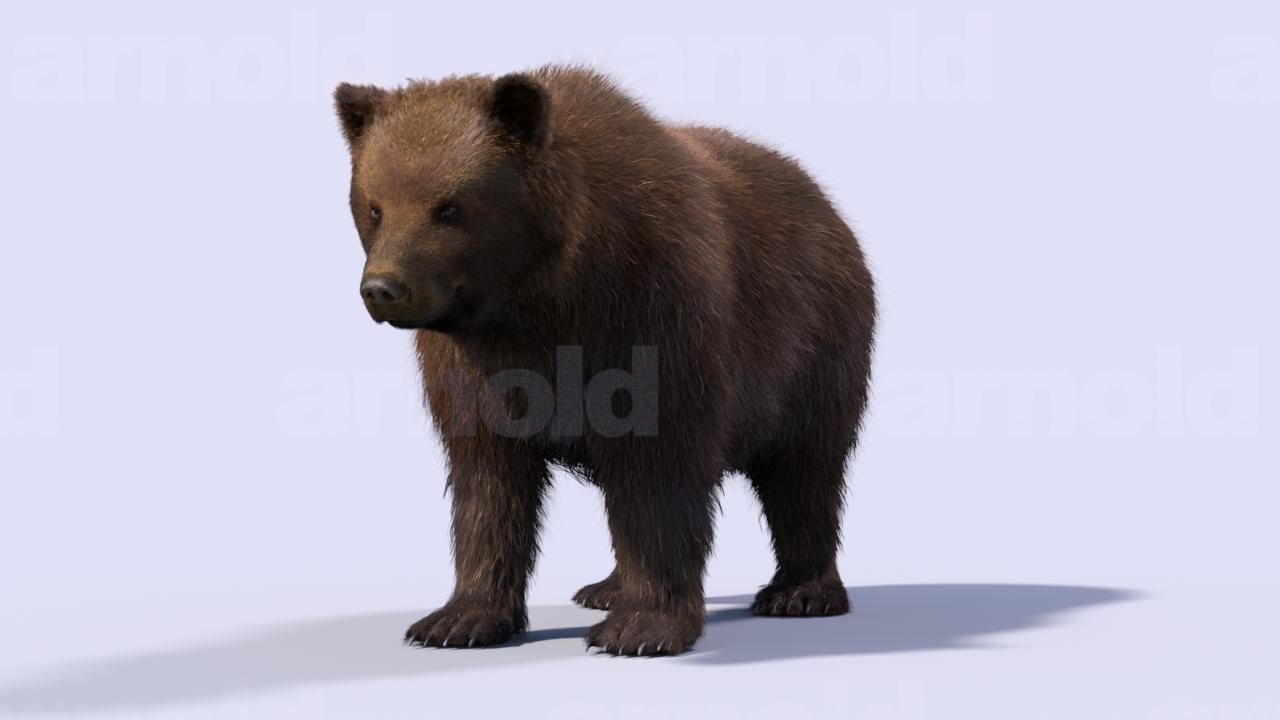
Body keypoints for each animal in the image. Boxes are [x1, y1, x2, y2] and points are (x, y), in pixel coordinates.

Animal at [333, 65, 876, 656]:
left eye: (449, 207)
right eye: (374, 206)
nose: (384, 289)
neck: (544, 300)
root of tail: (823, 198)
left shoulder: (653, 318)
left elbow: (660, 472)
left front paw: (641, 628)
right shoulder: (474, 366)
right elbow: (488, 482)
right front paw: (455, 620)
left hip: (812, 348)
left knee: (804, 471)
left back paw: (800, 593)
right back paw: (606, 587)